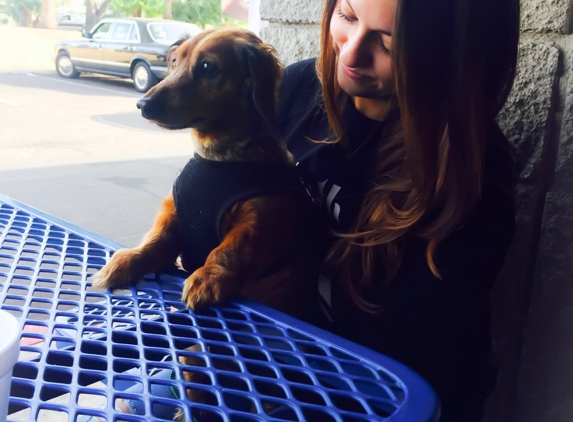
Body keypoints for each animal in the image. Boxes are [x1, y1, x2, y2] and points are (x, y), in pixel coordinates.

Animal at [90, 28, 316, 320]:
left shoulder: (256, 220)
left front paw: (208, 277)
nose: (143, 104)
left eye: (208, 68)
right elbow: (154, 240)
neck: (219, 159)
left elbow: (230, 250)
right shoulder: (172, 213)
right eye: (174, 61)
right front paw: (125, 261)